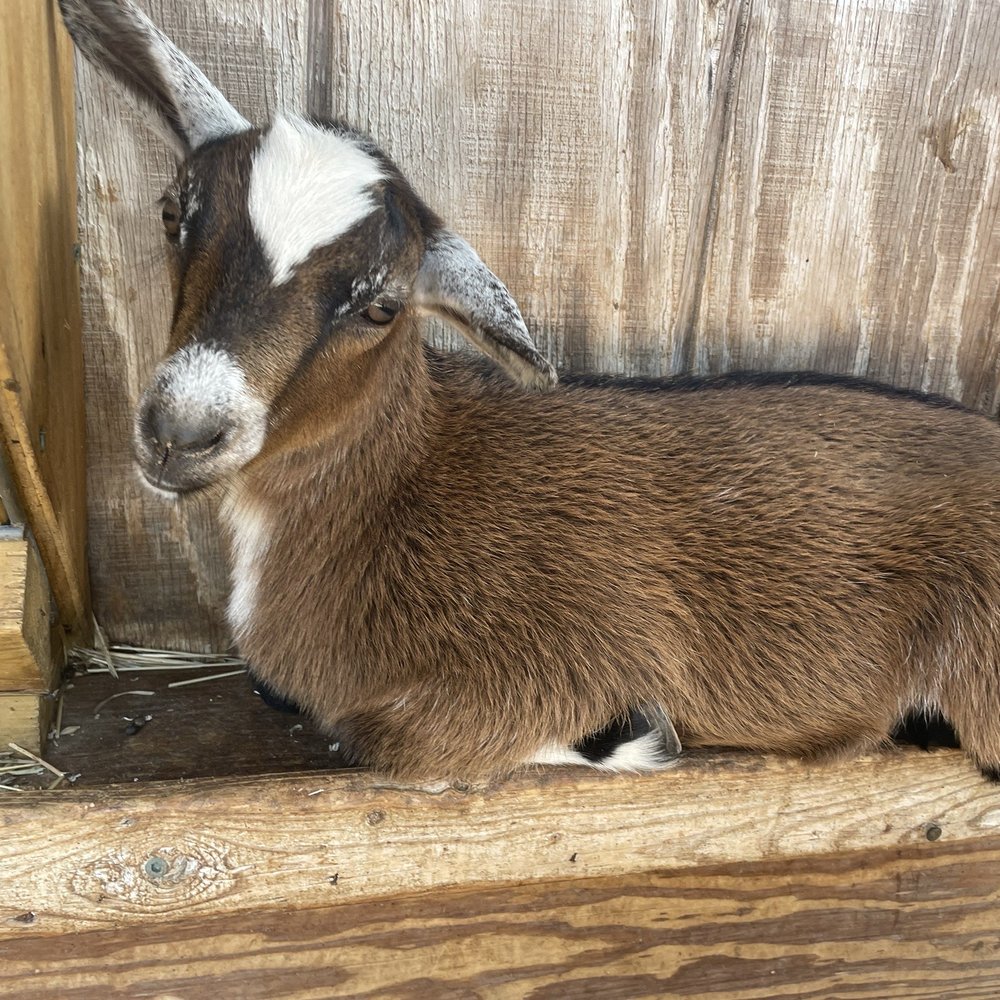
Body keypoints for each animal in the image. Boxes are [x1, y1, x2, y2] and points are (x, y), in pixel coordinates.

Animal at [61, 0, 1000, 781]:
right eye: (172, 213)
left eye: (381, 305)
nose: (181, 430)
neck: (400, 490)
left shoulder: (552, 657)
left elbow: (393, 737)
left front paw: (631, 737)